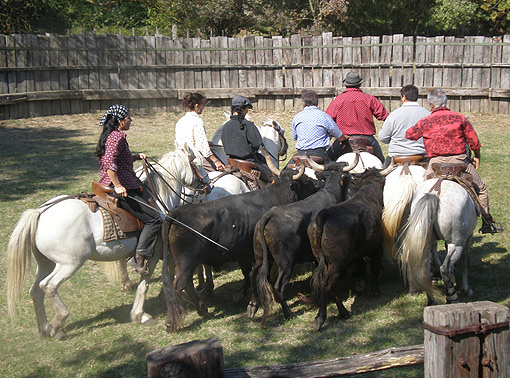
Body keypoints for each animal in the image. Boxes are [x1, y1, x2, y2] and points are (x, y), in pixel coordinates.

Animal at [5, 146, 209, 338]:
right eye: (198, 163)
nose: (207, 184)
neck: (156, 198)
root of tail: (40, 213)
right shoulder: (154, 253)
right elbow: (145, 283)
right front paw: (140, 315)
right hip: (69, 263)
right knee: (48, 286)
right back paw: (58, 323)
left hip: (46, 263)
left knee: (35, 290)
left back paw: (44, 329)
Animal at [161, 167, 316, 332]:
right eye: (307, 180)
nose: (318, 184)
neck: (274, 198)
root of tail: (177, 212)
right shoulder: (259, 255)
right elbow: (257, 275)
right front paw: (253, 303)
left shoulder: (243, 254)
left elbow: (248, 274)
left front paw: (242, 294)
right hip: (187, 263)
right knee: (179, 286)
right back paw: (171, 321)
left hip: (187, 264)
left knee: (187, 285)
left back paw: (202, 309)